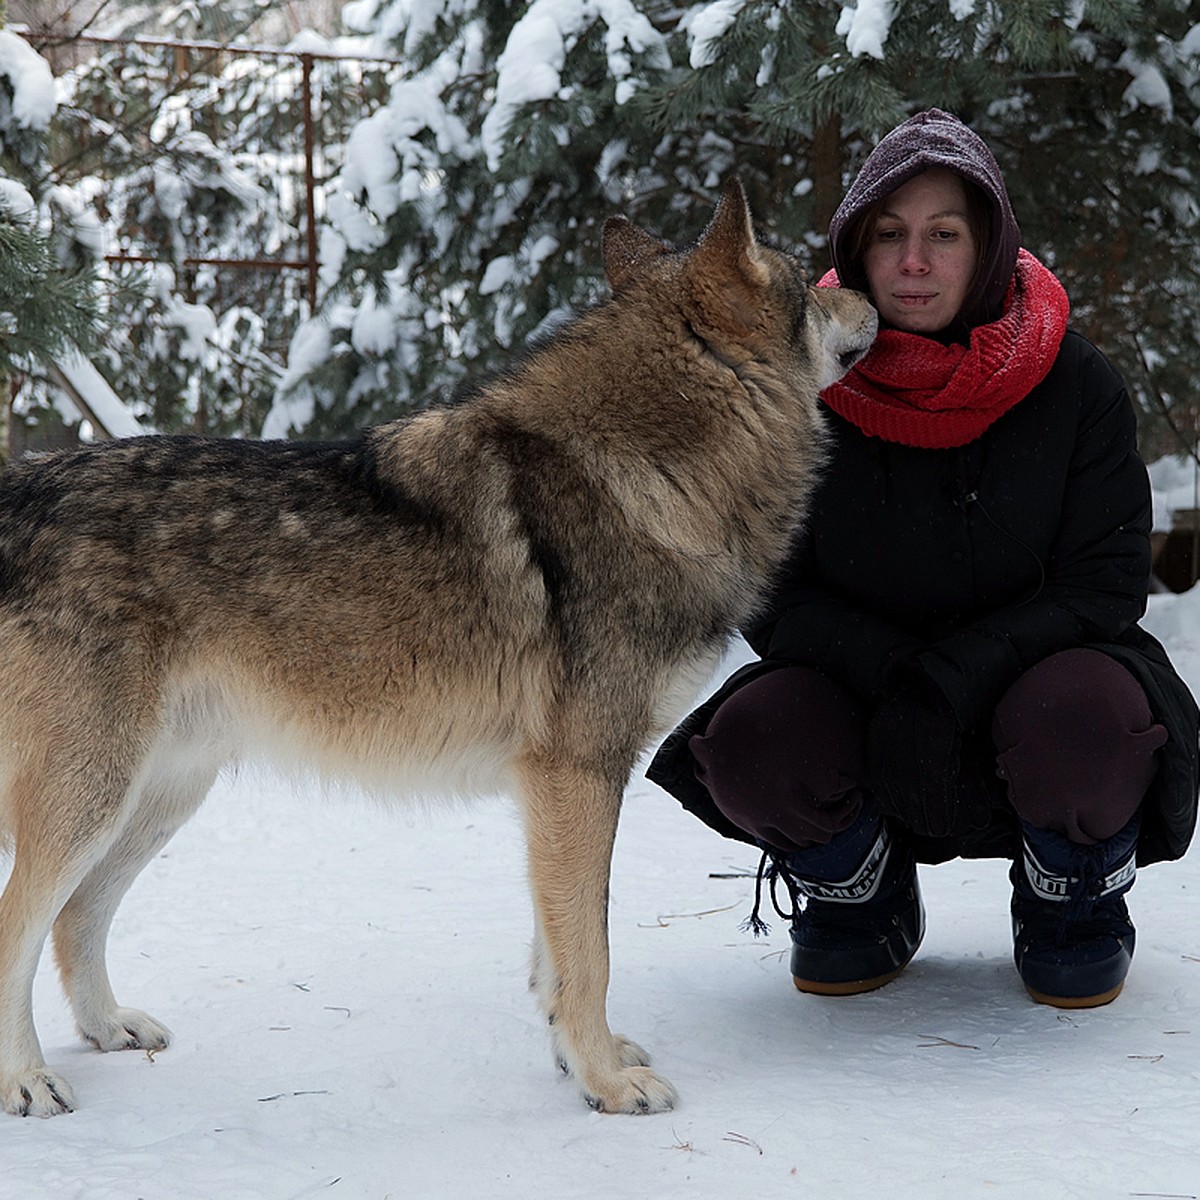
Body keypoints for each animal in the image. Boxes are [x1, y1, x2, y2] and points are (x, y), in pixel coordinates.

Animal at [0, 177, 878, 1113]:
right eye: (809, 283)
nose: (863, 290)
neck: (645, 471)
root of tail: (18, 489)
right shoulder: (579, 775)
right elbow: (591, 955)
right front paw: (608, 1084)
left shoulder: (552, 791)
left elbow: (555, 958)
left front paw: (578, 1058)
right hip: (96, 794)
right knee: (22, 921)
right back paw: (27, 1081)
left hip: (159, 795)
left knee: (75, 917)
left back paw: (109, 1028)